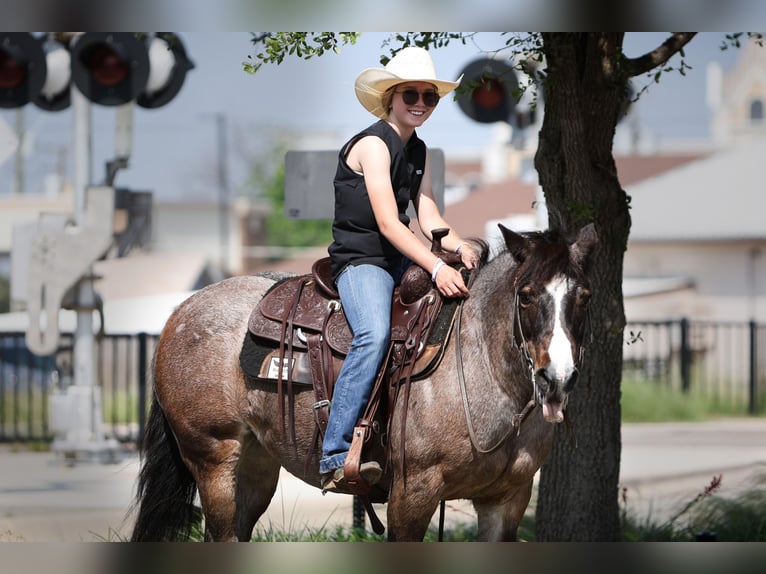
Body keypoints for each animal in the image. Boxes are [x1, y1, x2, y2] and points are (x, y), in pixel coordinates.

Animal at [130, 223, 600, 544]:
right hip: (213, 458)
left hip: (256, 465)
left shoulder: (507, 501)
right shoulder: (412, 495)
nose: (557, 377)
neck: (478, 359)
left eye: (585, 296)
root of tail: (181, 312)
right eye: (527, 295)